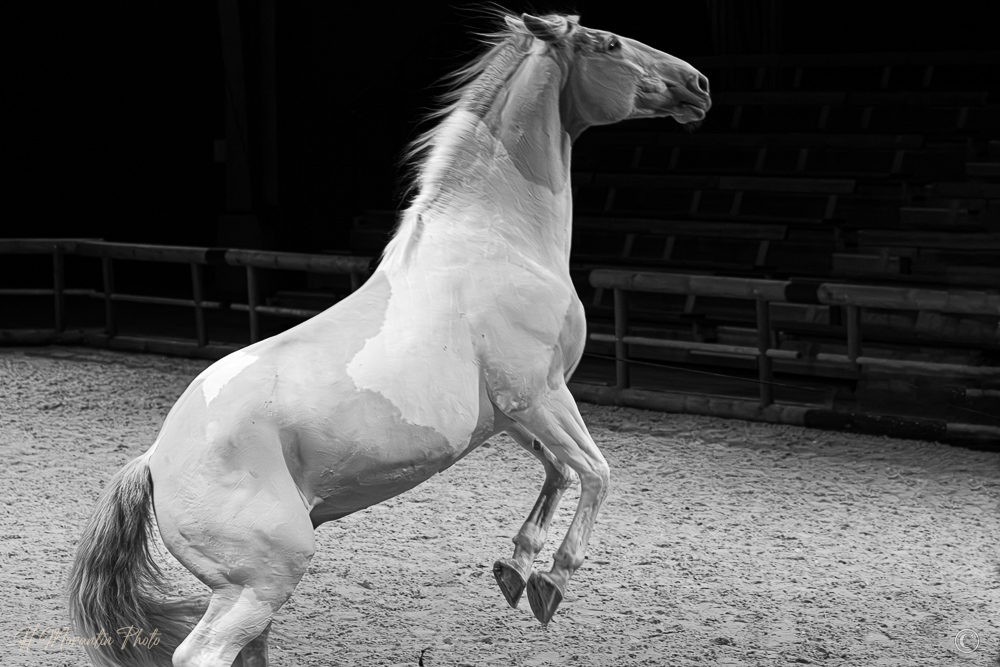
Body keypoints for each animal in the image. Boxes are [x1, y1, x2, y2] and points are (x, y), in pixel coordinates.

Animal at [68, 11, 709, 666]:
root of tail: (153, 461)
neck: (495, 243)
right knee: (201, 653)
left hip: (253, 595)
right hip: (261, 582)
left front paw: (515, 567)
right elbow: (596, 472)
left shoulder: (511, 415)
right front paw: (550, 580)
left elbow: (558, 470)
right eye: (608, 43)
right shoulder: (539, 394)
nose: (699, 85)